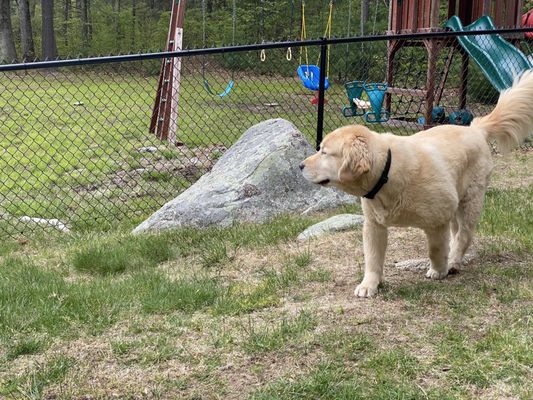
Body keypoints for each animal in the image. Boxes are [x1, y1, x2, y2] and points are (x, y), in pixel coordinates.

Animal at [300, 70, 532, 298]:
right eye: (319, 148)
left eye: (324, 152)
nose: (300, 165)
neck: (387, 172)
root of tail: (475, 128)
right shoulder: (374, 225)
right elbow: (373, 258)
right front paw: (369, 285)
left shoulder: (438, 219)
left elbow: (436, 249)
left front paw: (439, 270)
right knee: (457, 233)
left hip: (470, 201)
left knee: (464, 236)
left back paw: (453, 261)